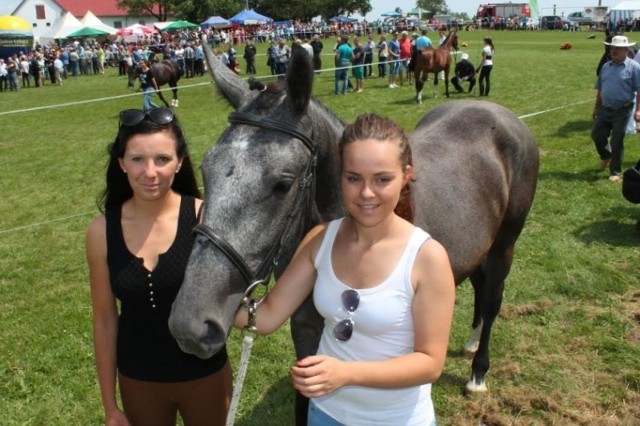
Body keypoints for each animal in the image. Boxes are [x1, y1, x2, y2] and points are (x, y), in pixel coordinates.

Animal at [168, 45, 536, 422]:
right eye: (205, 169)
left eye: (282, 184)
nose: (189, 326)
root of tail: (497, 113)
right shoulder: (305, 332)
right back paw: (472, 340)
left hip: (503, 246)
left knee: (492, 298)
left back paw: (478, 371)